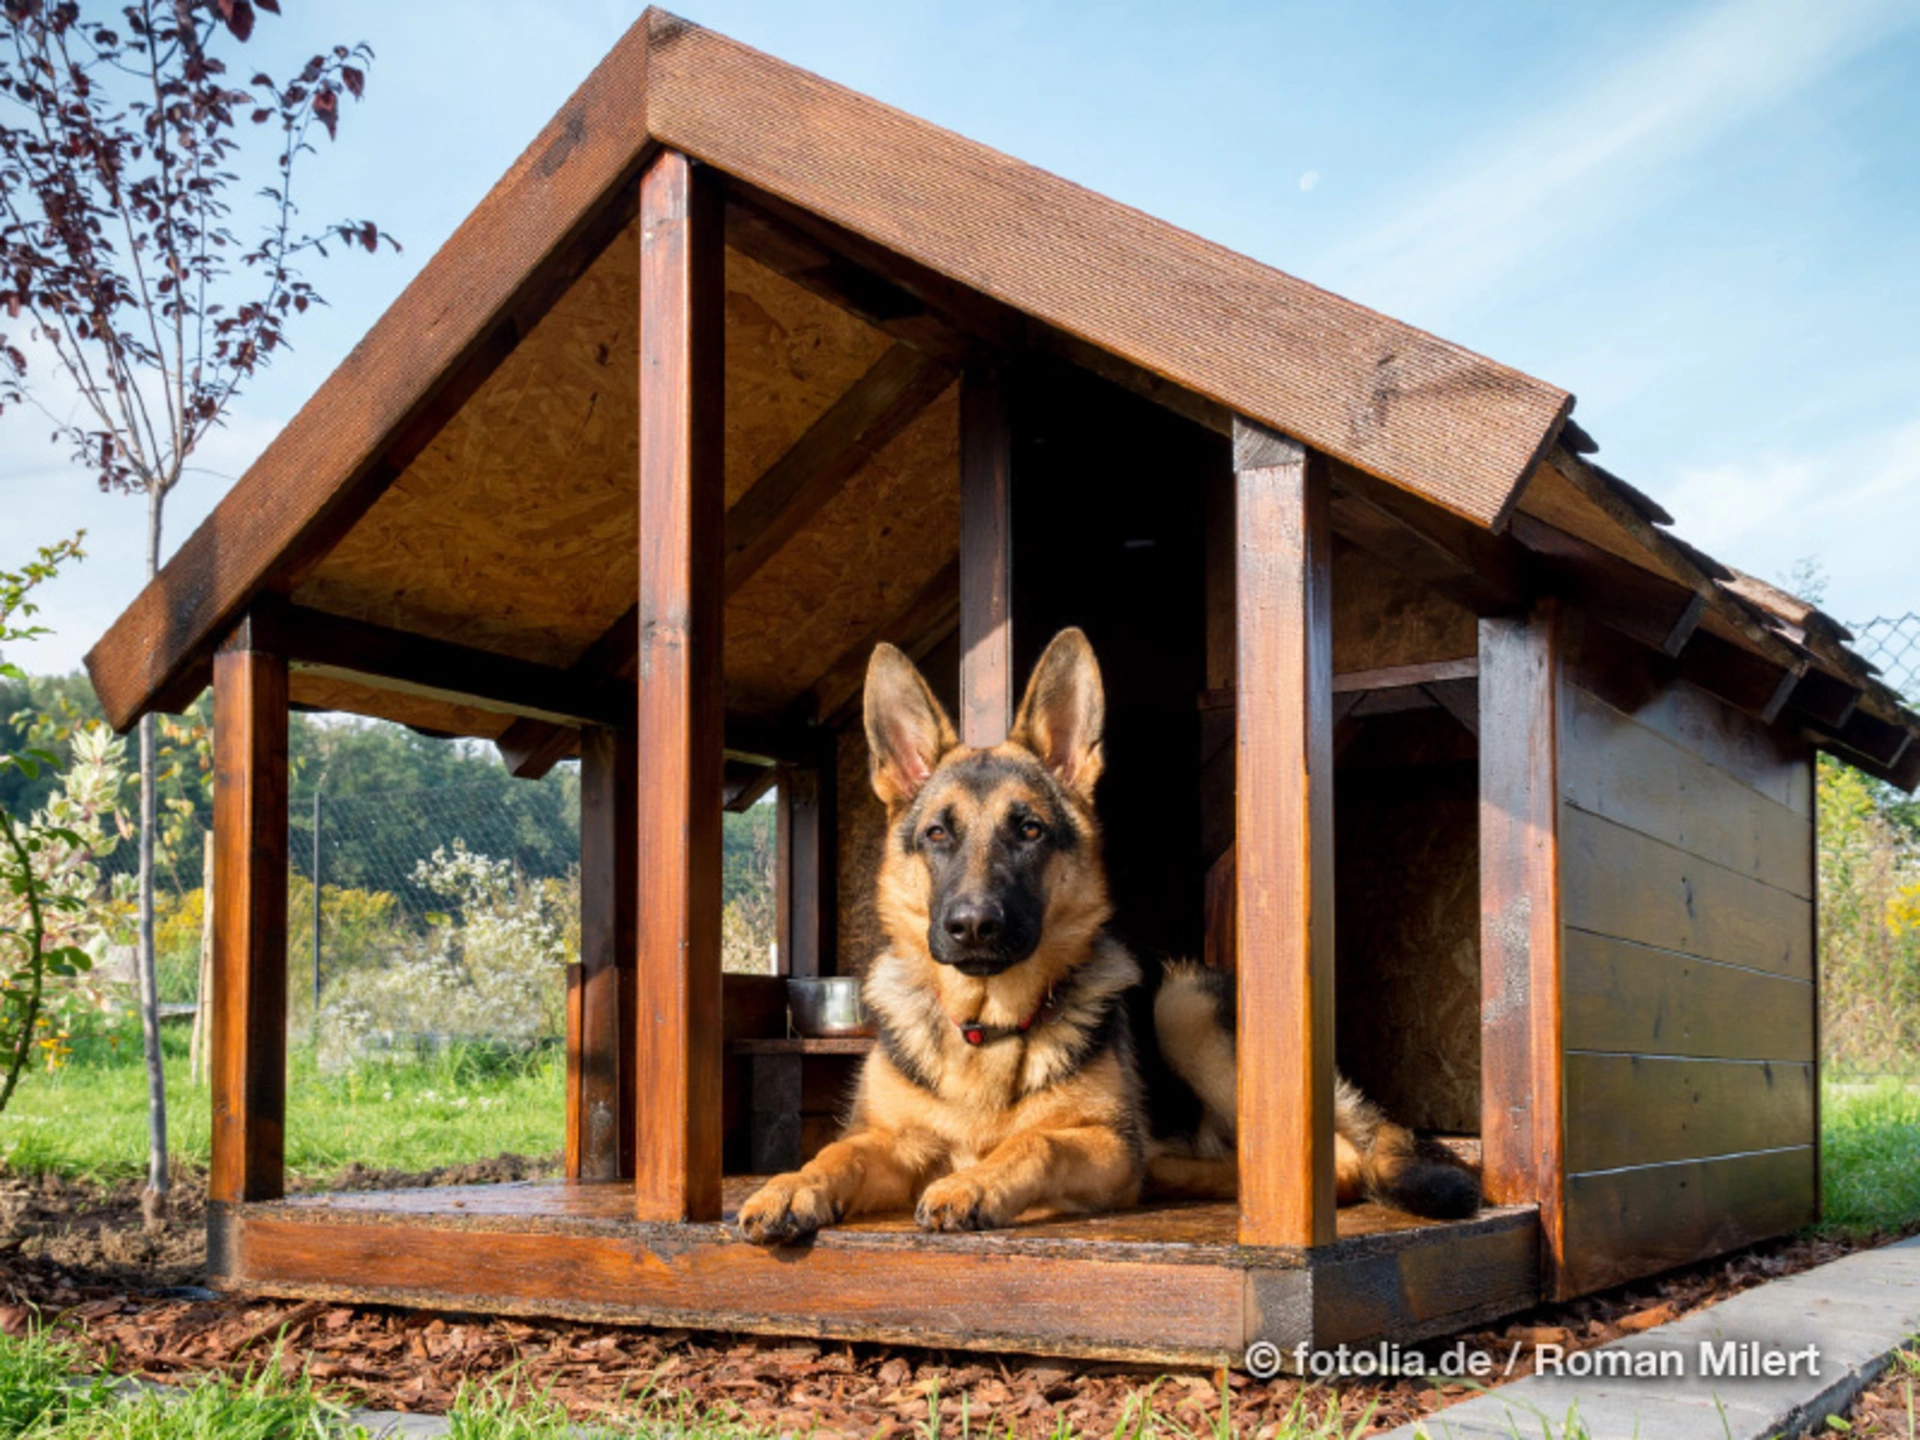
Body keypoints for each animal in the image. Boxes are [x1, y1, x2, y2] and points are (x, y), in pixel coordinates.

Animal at [729, 629, 1466, 1251]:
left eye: (1028, 830)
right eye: (938, 833)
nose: (973, 927)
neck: (986, 1028)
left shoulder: (1101, 1144)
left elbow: (1037, 1144)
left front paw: (976, 1181)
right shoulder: (891, 1141)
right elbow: (837, 1152)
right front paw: (790, 1185)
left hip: (1183, 1006)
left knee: (1337, 1163)